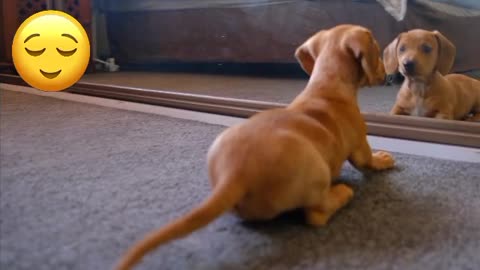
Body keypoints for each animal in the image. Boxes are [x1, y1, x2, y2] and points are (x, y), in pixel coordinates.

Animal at [115, 24, 394, 270]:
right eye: (377, 50)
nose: (387, 75)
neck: (326, 85)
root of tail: (235, 174)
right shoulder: (359, 144)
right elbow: (367, 160)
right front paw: (382, 159)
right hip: (317, 172)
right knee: (317, 214)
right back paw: (341, 194)